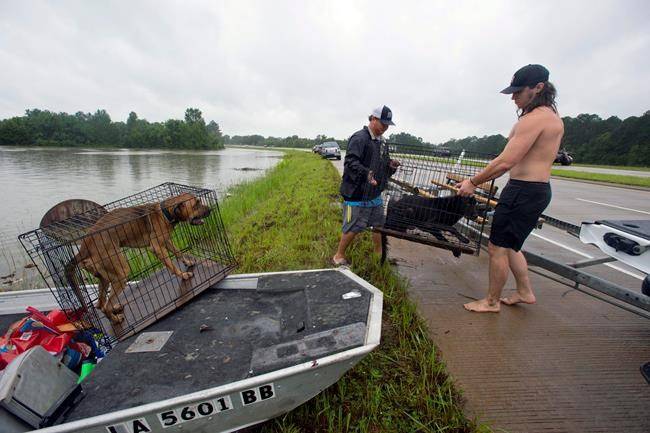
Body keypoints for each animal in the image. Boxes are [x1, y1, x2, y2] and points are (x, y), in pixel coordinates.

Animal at [64, 192, 209, 324]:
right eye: (196, 204)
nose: (210, 210)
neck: (164, 213)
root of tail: (84, 248)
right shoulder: (157, 247)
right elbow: (171, 265)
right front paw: (183, 275)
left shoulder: (166, 241)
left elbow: (178, 252)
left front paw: (187, 262)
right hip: (121, 272)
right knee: (105, 306)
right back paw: (116, 319)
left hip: (105, 278)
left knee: (100, 304)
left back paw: (114, 309)